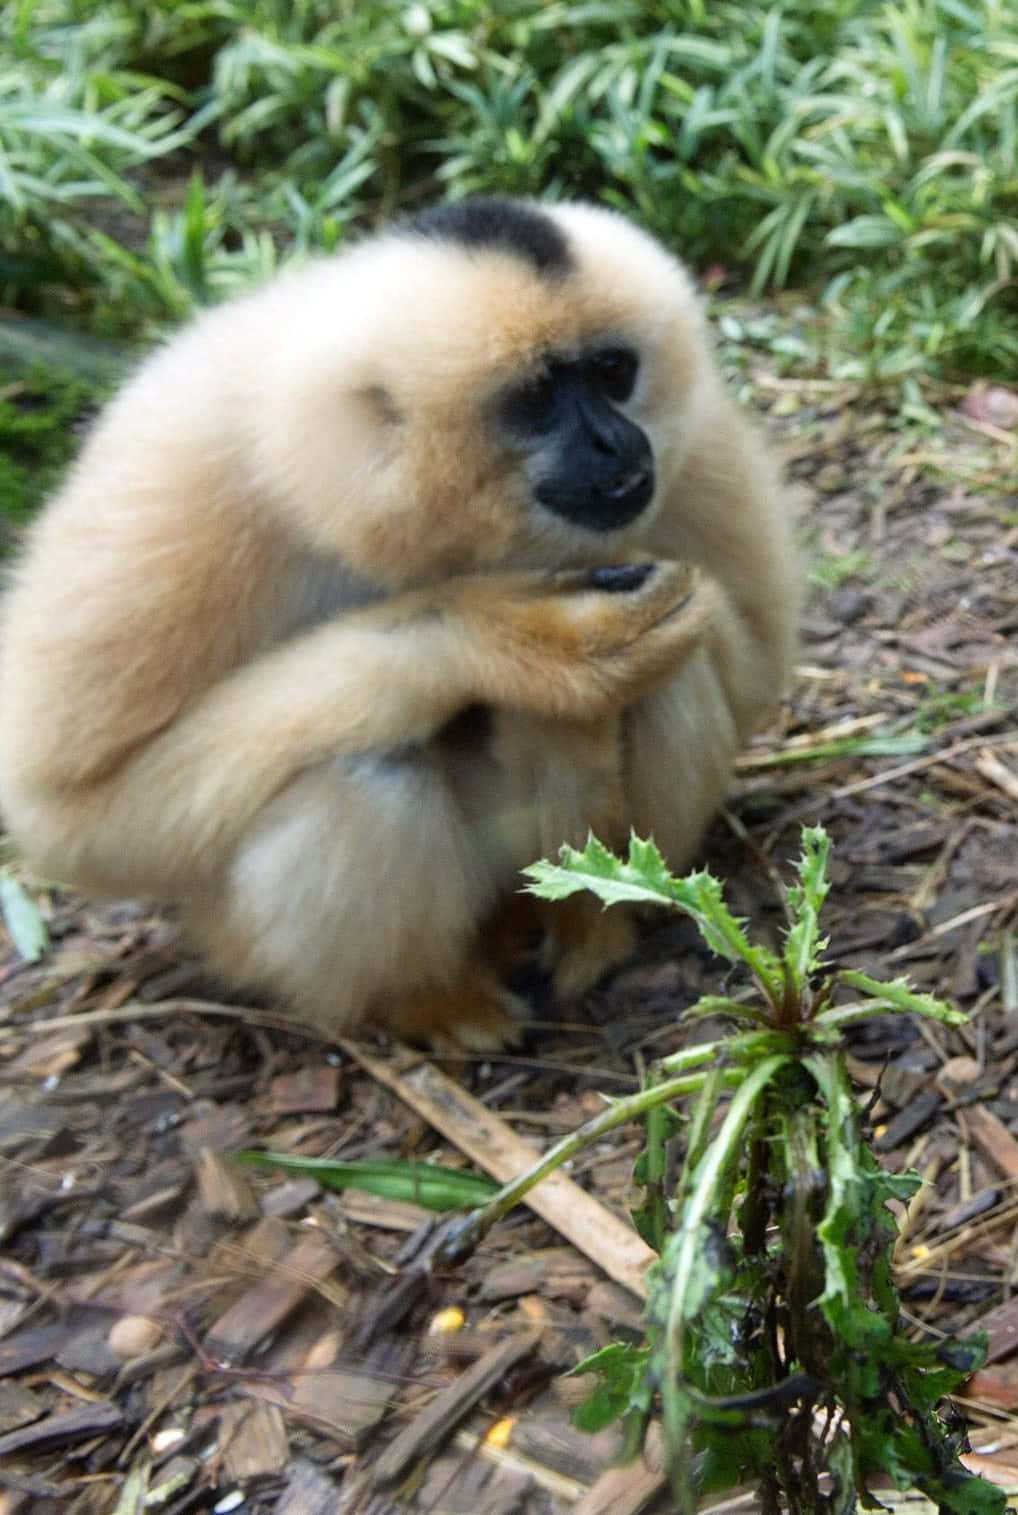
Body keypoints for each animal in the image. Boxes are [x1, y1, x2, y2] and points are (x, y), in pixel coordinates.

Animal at [0, 197, 798, 1048]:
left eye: (613, 371)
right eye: (538, 396)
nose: (615, 440)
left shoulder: (696, 433)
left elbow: (749, 659)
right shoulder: (176, 477)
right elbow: (76, 815)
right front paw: (526, 639)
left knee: (672, 666)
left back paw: (591, 929)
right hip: (239, 935)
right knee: (365, 771)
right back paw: (433, 1000)